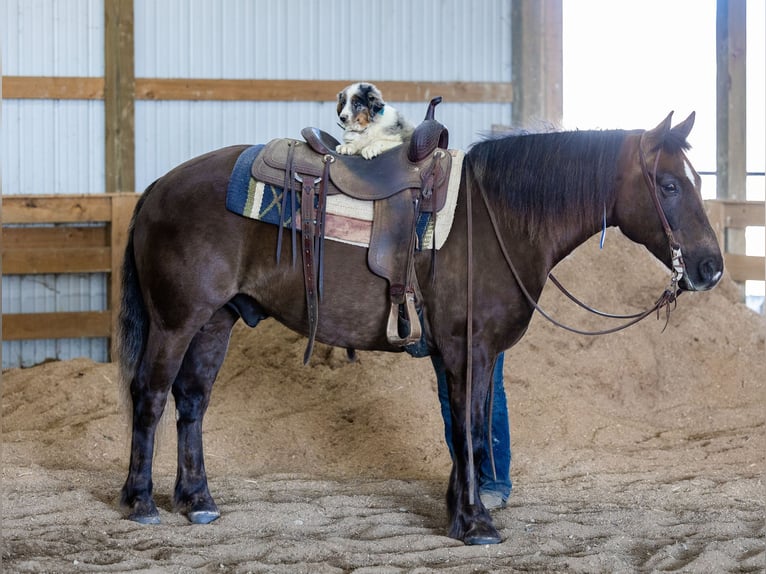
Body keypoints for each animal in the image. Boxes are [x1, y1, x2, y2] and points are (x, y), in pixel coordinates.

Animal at [117, 111, 724, 544]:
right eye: (669, 185)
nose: (710, 267)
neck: (495, 220)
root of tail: (158, 186)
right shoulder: (466, 348)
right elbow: (468, 429)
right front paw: (476, 522)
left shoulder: (471, 353)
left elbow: (466, 427)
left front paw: (460, 511)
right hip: (175, 321)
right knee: (150, 396)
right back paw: (141, 502)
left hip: (214, 322)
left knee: (193, 401)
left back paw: (197, 500)